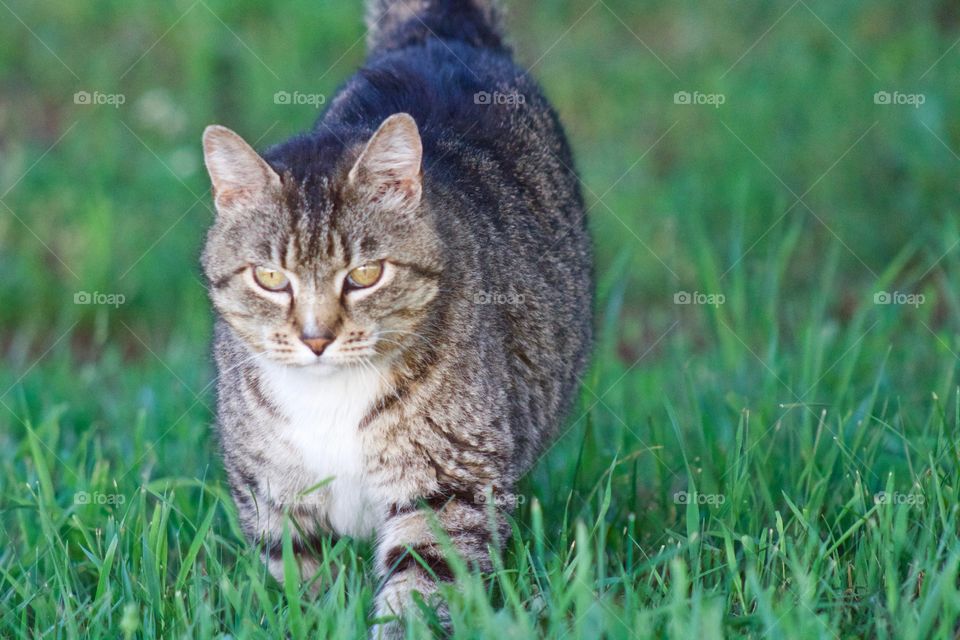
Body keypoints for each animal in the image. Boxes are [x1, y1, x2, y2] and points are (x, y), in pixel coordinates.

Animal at [201, 0, 592, 632]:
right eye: (271, 279)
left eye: (364, 275)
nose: (316, 338)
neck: (329, 397)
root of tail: (441, 31)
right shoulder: (269, 489)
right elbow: (300, 580)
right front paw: (313, 619)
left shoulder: (452, 481)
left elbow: (422, 584)